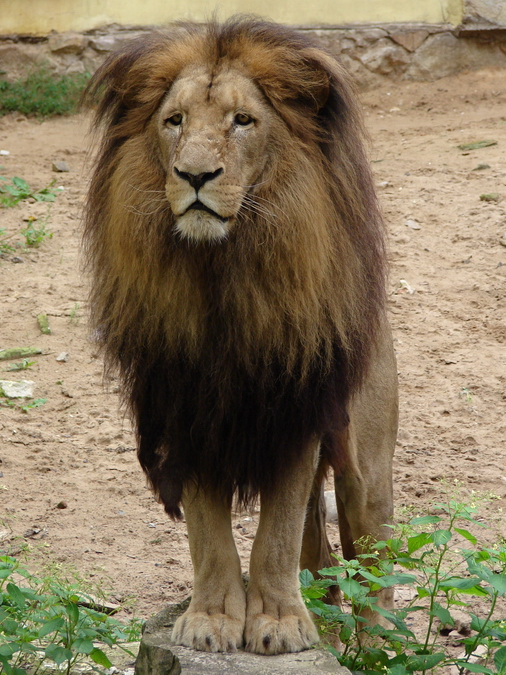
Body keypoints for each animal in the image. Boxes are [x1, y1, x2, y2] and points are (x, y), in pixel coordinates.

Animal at [83, 17, 398, 656]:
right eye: (174, 120)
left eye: (243, 121)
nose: (195, 175)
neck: (220, 278)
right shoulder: (187, 415)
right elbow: (209, 535)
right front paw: (211, 618)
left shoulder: (294, 410)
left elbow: (275, 532)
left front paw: (278, 623)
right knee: (323, 553)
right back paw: (326, 613)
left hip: (367, 465)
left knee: (372, 559)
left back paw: (375, 646)